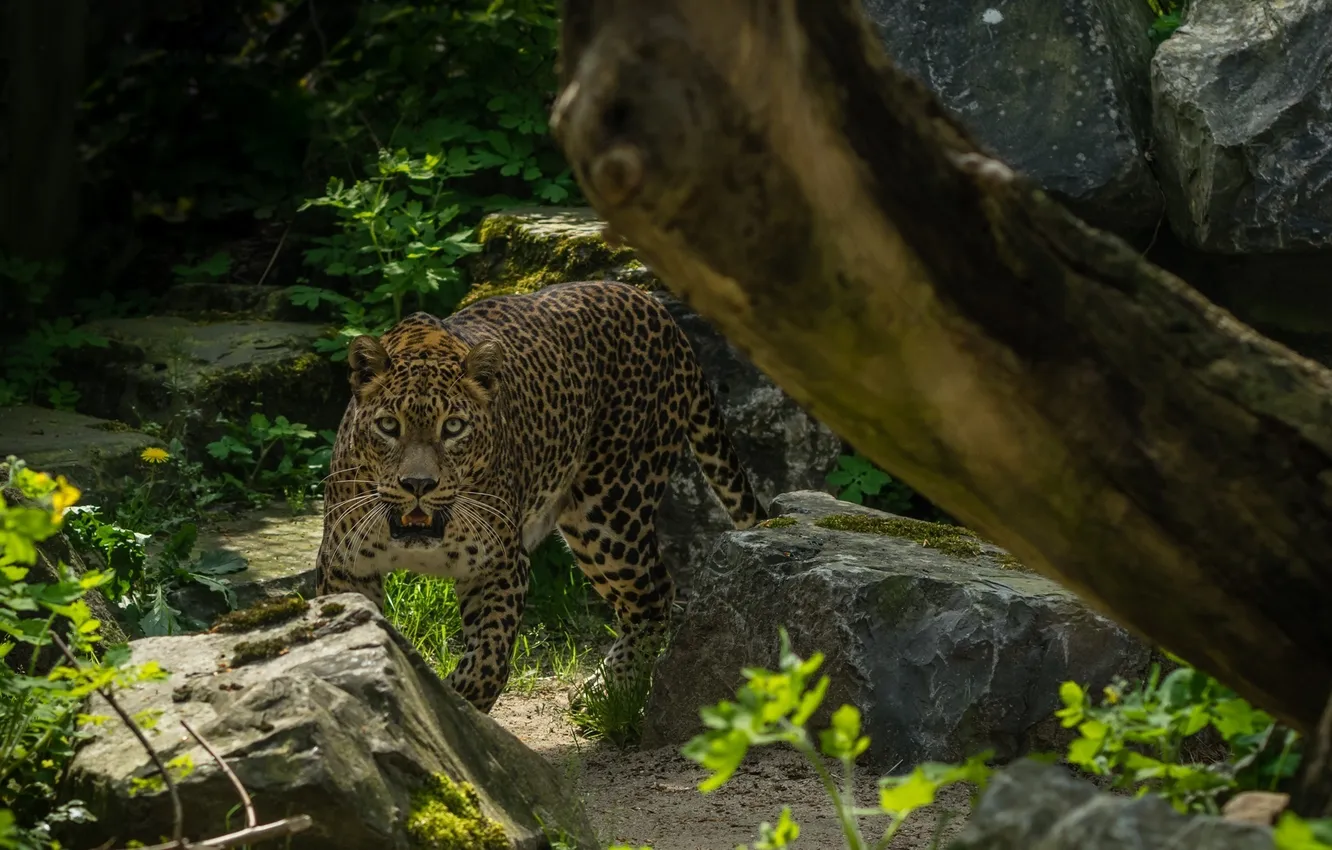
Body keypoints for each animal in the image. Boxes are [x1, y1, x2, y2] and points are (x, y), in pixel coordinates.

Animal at [314, 280, 766, 713]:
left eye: (454, 427)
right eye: (389, 426)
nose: (419, 485)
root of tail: (654, 305)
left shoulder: (500, 564)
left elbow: (488, 661)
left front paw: (455, 706)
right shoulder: (344, 567)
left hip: (610, 511)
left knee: (654, 593)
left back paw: (611, 689)